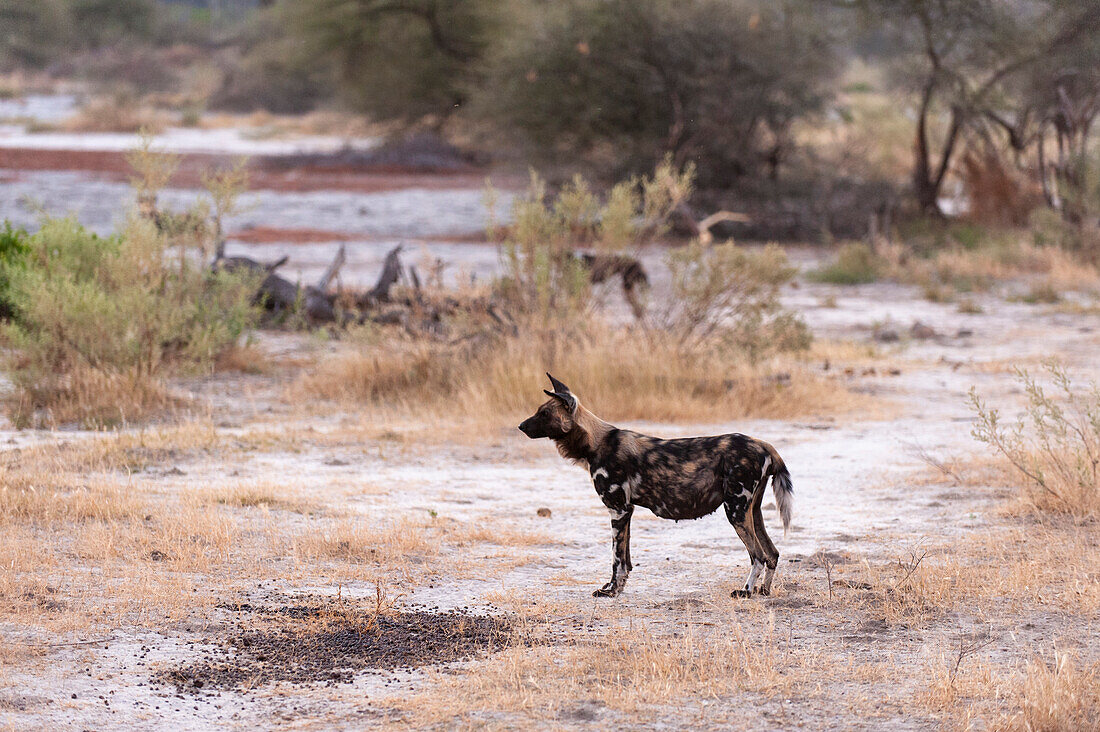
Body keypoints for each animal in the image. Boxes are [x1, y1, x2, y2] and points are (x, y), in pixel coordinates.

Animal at [519, 374, 796, 598]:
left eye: (544, 414)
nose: (520, 426)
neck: (595, 443)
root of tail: (764, 445)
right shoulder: (626, 511)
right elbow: (626, 560)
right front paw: (616, 588)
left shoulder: (617, 509)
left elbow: (616, 559)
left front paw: (611, 592)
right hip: (752, 510)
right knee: (772, 553)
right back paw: (764, 591)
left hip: (735, 510)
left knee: (758, 555)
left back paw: (746, 591)